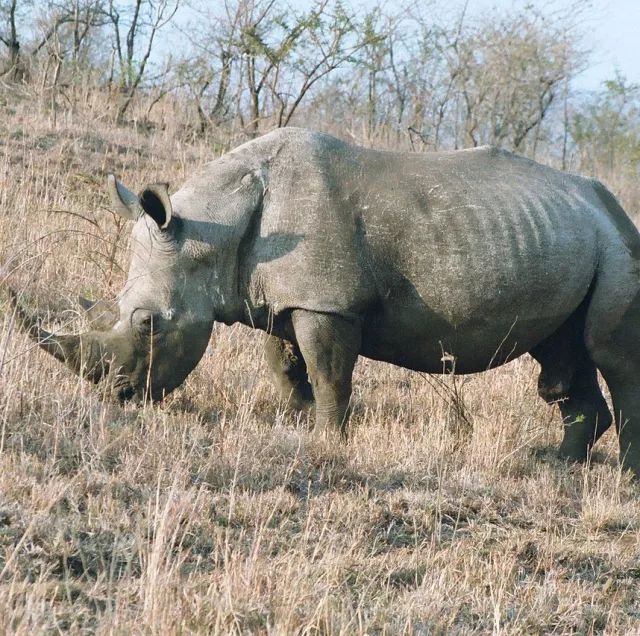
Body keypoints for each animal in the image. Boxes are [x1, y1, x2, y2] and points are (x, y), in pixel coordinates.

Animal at [8, 129, 640, 474]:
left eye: (147, 323)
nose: (117, 396)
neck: (213, 229)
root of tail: (608, 202)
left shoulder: (326, 303)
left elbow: (330, 372)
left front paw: (327, 439)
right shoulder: (280, 300)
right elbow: (285, 365)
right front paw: (298, 422)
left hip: (617, 241)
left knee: (611, 353)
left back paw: (625, 477)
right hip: (570, 235)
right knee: (563, 350)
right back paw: (556, 464)